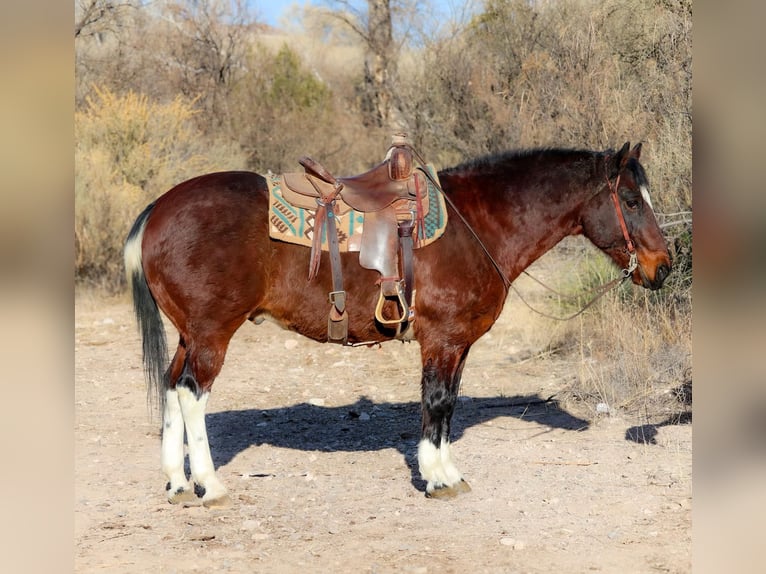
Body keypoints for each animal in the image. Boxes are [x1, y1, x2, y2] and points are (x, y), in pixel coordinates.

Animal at [124, 141, 671, 507]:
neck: (477, 224)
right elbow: (437, 402)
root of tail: (158, 209)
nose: (663, 267)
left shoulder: (458, 343)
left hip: (188, 334)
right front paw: (437, 477)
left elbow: (447, 406)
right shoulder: (442, 338)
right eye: (630, 199)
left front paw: (448, 471)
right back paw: (209, 485)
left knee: (171, 387)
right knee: (192, 393)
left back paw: (177, 482)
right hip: (211, 333)